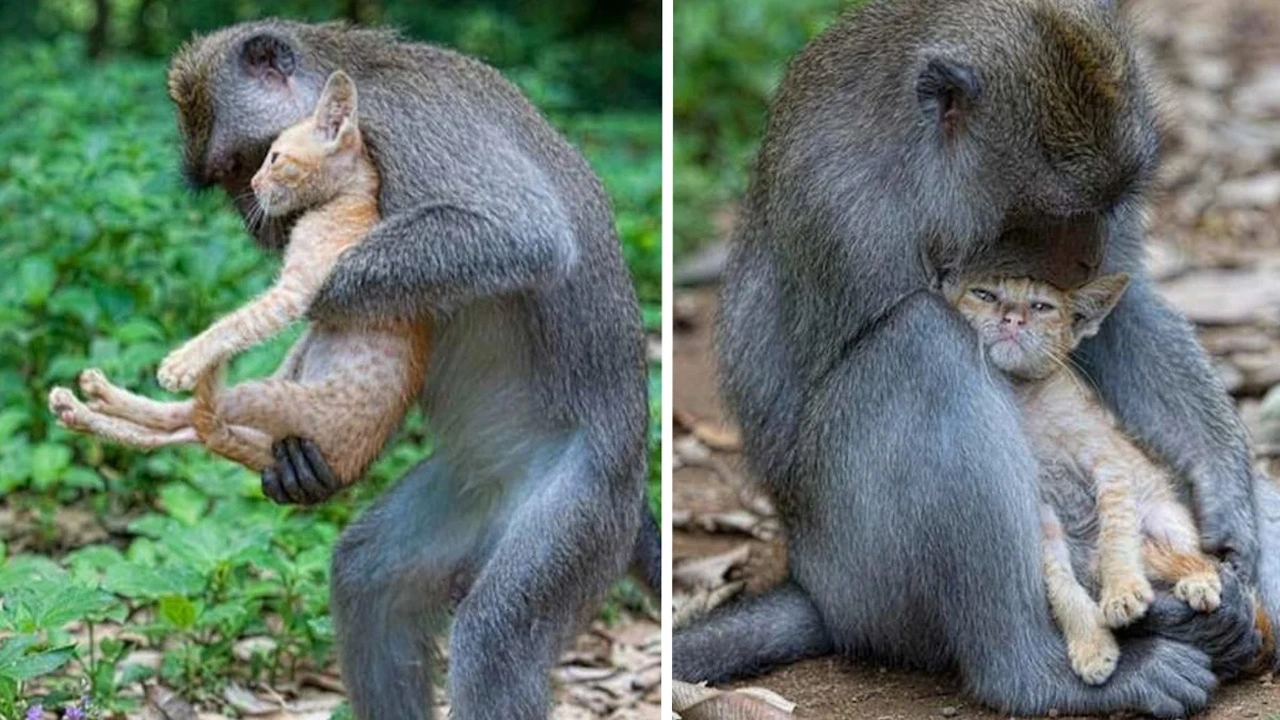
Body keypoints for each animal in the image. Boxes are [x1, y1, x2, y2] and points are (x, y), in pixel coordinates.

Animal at [48, 71, 430, 486]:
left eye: (275, 158)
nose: (255, 182)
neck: (349, 200)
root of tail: (346, 468)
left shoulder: (294, 292)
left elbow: (235, 322)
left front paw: (184, 362)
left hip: (272, 396)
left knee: (196, 422)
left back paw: (96, 401)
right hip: (289, 365)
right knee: (187, 428)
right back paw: (82, 404)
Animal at [166, 19, 655, 717]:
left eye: (249, 164)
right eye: (228, 178)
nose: (253, 217)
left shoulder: (409, 126)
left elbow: (521, 234)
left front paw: (306, 295)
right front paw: (295, 460)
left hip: (580, 507)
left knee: (495, 638)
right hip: (472, 489)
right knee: (369, 580)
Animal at [670, 0, 1280, 712]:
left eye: (1110, 205)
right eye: (1050, 214)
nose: (1087, 257)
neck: (920, 163)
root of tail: (816, 589)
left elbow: (1117, 314)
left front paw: (1226, 498)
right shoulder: (840, 206)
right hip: (864, 576)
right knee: (922, 343)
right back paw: (1035, 671)